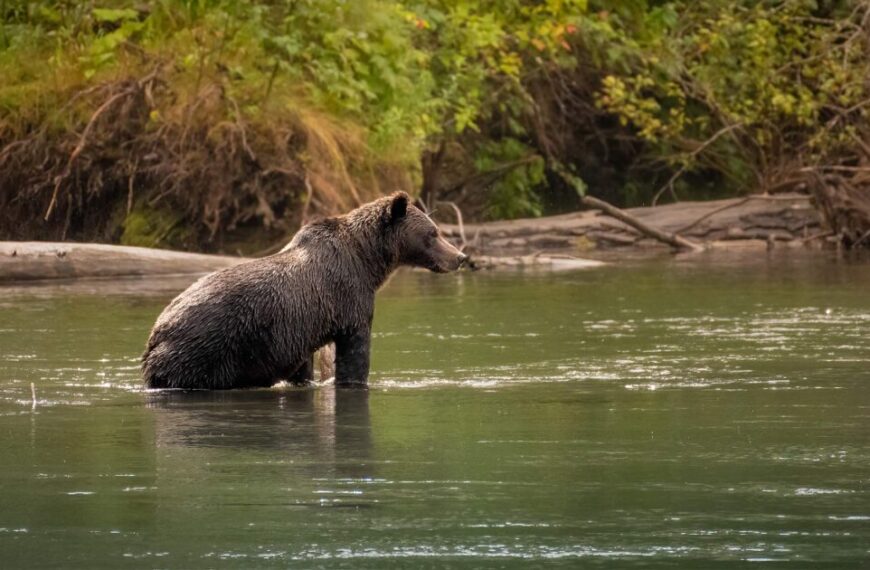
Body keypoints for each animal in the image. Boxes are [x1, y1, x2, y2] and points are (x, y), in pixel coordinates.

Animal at [141, 192, 467, 390]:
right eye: (433, 234)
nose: (460, 257)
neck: (366, 261)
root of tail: (157, 331)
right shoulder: (349, 298)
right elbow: (356, 352)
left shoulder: (299, 329)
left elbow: (303, 366)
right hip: (204, 349)